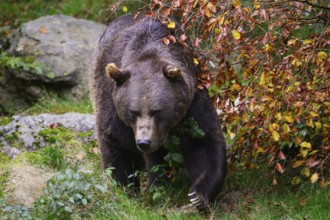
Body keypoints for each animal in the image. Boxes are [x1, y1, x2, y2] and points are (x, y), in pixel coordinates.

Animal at [91, 12, 228, 212]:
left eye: (157, 111)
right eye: (133, 111)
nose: (143, 142)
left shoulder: (193, 101)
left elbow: (203, 141)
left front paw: (197, 195)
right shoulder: (111, 101)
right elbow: (117, 144)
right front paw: (125, 190)